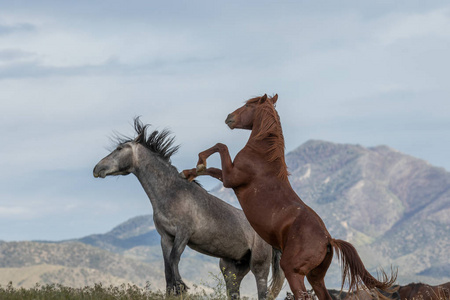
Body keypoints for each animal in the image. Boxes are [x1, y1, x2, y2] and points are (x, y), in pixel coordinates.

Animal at [92, 118, 284, 298]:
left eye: (119, 148)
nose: (97, 168)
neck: (172, 193)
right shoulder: (165, 237)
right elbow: (167, 269)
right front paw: (174, 290)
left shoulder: (183, 233)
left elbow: (174, 259)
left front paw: (182, 288)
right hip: (231, 268)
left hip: (259, 265)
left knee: (262, 291)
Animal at [181, 94, 396, 300]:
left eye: (249, 105)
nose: (229, 118)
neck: (262, 157)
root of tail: (328, 239)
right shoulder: (229, 177)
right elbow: (211, 168)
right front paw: (188, 173)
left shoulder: (231, 178)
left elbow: (220, 148)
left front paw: (199, 161)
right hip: (315, 277)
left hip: (293, 272)